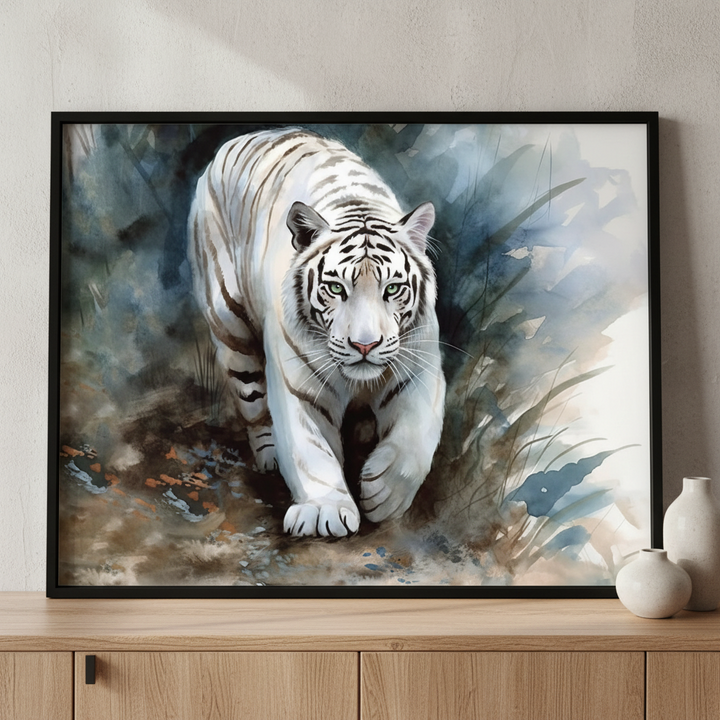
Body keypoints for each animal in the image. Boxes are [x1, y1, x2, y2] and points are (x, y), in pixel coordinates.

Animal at [187, 127, 446, 537]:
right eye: (336, 288)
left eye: (392, 288)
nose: (365, 345)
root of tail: (249, 135)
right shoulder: (299, 384)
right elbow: (310, 448)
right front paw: (326, 511)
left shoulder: (418, 369)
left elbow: (415, 437)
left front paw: (384, 494)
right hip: (231, 329)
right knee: (253, 406)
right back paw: (270, 457)